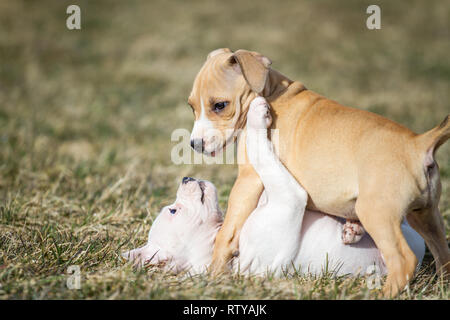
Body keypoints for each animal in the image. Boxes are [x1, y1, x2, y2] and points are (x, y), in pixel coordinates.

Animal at [123, 97, 426, 278]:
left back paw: (354, 226)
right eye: (173, 211)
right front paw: (257, 115)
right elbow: (262, 154)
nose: (186, 179)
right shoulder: (290, 199)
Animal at [186, 48, 450, 296]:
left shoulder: (248, 180)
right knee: (443, 256)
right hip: (426, 216)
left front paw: (214, 277)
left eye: (220, 105)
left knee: (403, 261)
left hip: (378, 213)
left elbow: (227, 233)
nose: (194, 144)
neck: (272, 93)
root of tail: (418, 143)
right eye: (191, 106)